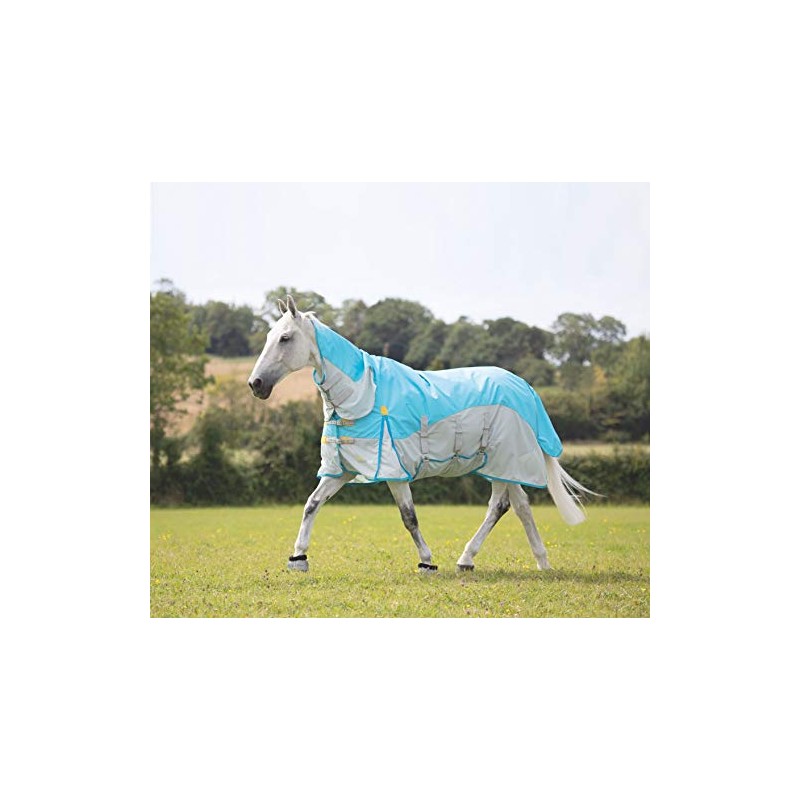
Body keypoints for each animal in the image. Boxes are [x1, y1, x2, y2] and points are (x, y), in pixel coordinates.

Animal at [248, 295, 593, 574]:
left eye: (285, 338)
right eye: (269, 336)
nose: (256, 384)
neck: (364, 392)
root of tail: (524, 388)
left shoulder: (393, 471)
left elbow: (409, 517)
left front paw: (427, 562)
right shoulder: (342, 469)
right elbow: (312, 504)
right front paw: (298, 558)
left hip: (503, 461)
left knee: (502, 506)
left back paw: (476, 559)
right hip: (503, 465)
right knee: (517, 506)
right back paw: (528, 562)